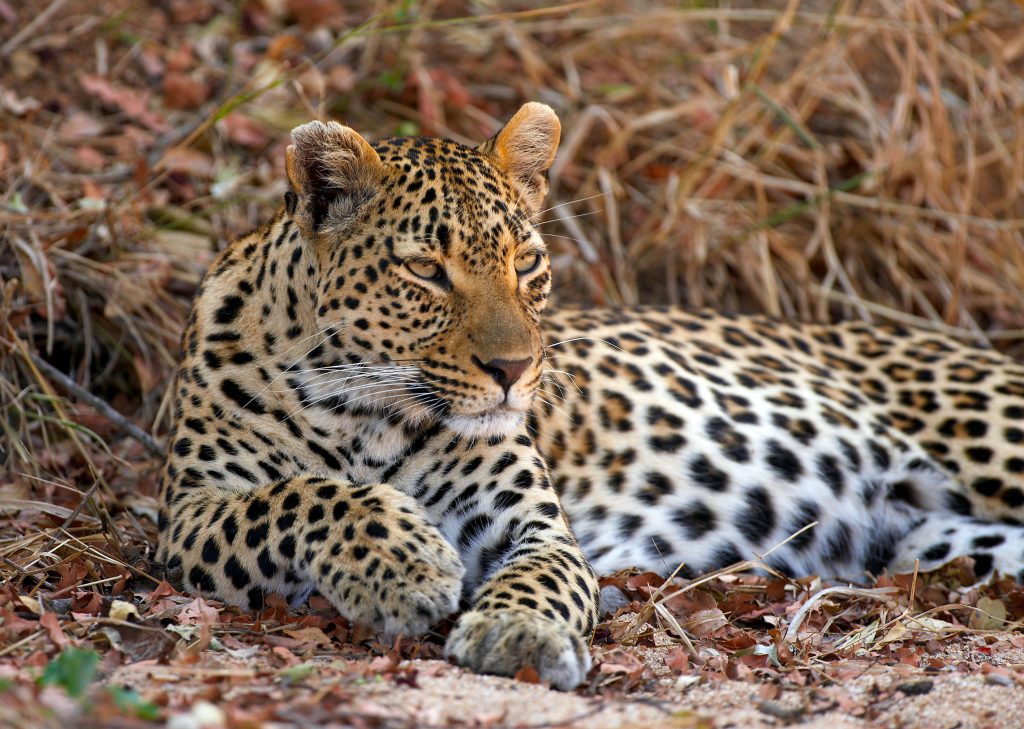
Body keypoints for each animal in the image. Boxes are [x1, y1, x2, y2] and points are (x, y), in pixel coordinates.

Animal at [159, 100, 1024, 688]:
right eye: (426, 271)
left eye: (526, 263)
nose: (513, 368)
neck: (364, 412)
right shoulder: (188, 514)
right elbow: (304, 494)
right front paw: (405, 564)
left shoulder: (537, 525)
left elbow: (540, 575)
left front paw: (518, 633)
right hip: (935, 541)